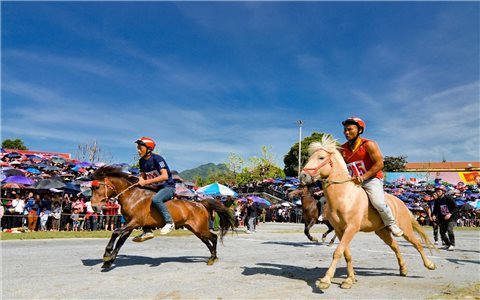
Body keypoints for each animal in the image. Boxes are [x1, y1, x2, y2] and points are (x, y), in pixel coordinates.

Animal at [90, 165, 236, 268]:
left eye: (96, 188)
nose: (94, 207)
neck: (133, 196)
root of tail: (200, 204)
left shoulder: (135, 222)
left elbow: (115, 232)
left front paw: (107, 254)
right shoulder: (129, 225)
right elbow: (120, 242)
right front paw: (109, 261)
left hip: (200, 228)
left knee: (214, 237)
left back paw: (213, 258)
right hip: (195, 229)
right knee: (208, 240)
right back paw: (212, 257)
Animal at [302, 135, 436, 290]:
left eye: (321, 157)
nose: (303, 176)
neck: (344, 196)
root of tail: (401, 202)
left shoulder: (351, 228)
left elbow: (338, 252)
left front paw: (325, 280)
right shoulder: (340, 231)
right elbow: (347, 254)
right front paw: (349, 279)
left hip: (405, 229)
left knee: (417, 244)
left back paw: (430, 265)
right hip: (382, 232)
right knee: (395, 246)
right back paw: (403, 269)